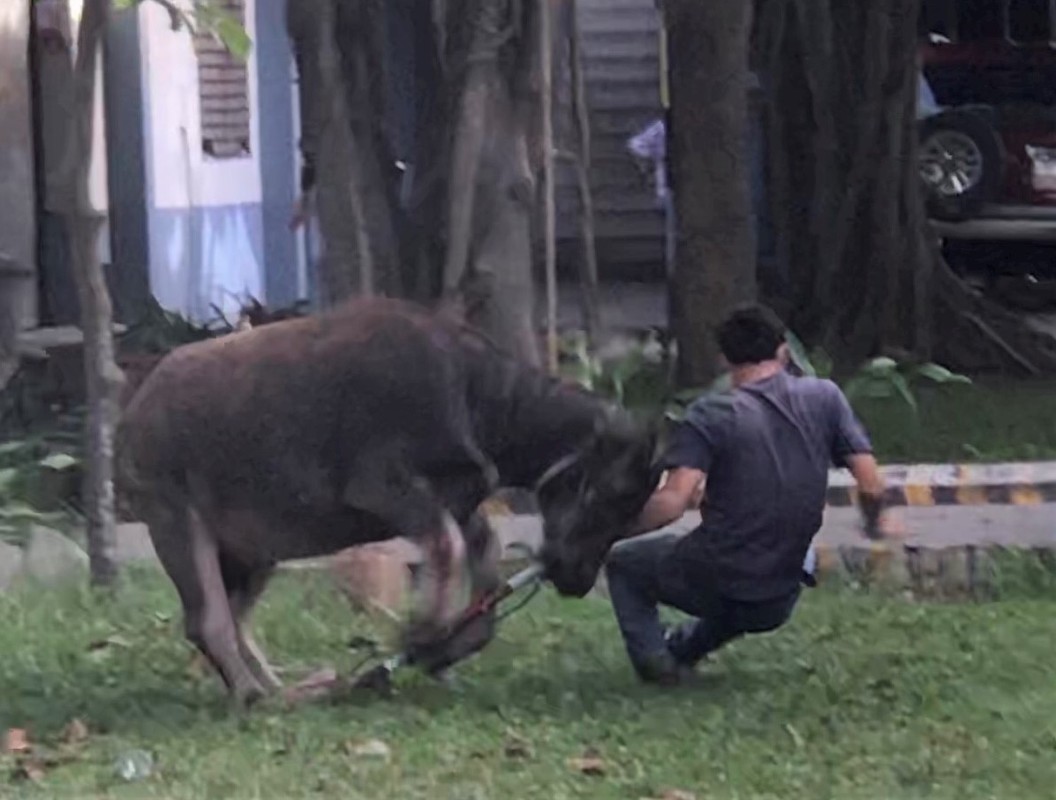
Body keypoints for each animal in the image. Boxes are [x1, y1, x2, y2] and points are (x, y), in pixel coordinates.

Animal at [119, 297, 654, 705]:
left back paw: (283, 689)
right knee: (207, 622)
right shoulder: (383, 489)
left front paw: (448, 646)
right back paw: (256, 696)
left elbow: (481, 553)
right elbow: (447, 547)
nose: (579, 582)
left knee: (235, 619)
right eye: (613, 498)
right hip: (177, 524)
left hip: (253, 553)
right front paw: (425, 633)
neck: (477, 395)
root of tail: (138, 407)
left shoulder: (461, 502)